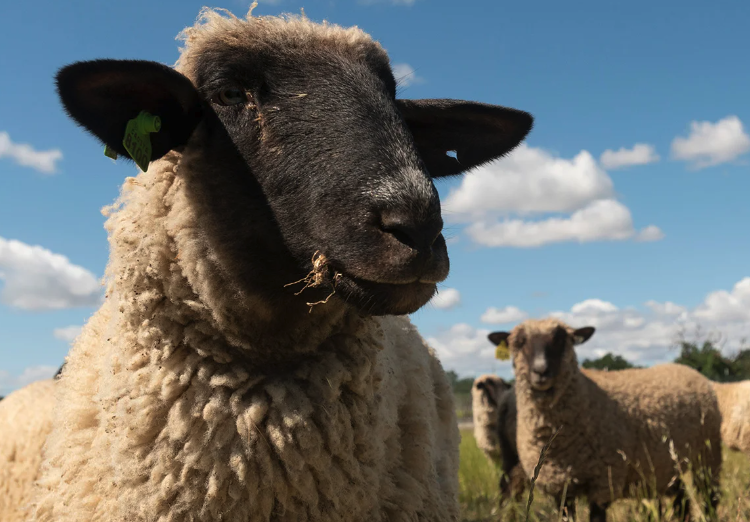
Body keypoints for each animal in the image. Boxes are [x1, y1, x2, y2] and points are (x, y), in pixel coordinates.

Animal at [490, 316, 724, 520]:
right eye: (519, 342)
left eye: (560, 339)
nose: (541, 371)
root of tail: (686, 368)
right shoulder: (559, 487)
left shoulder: (604, 482)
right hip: (669, 464)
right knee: (681, 499)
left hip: (707, 455)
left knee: (709, 496)